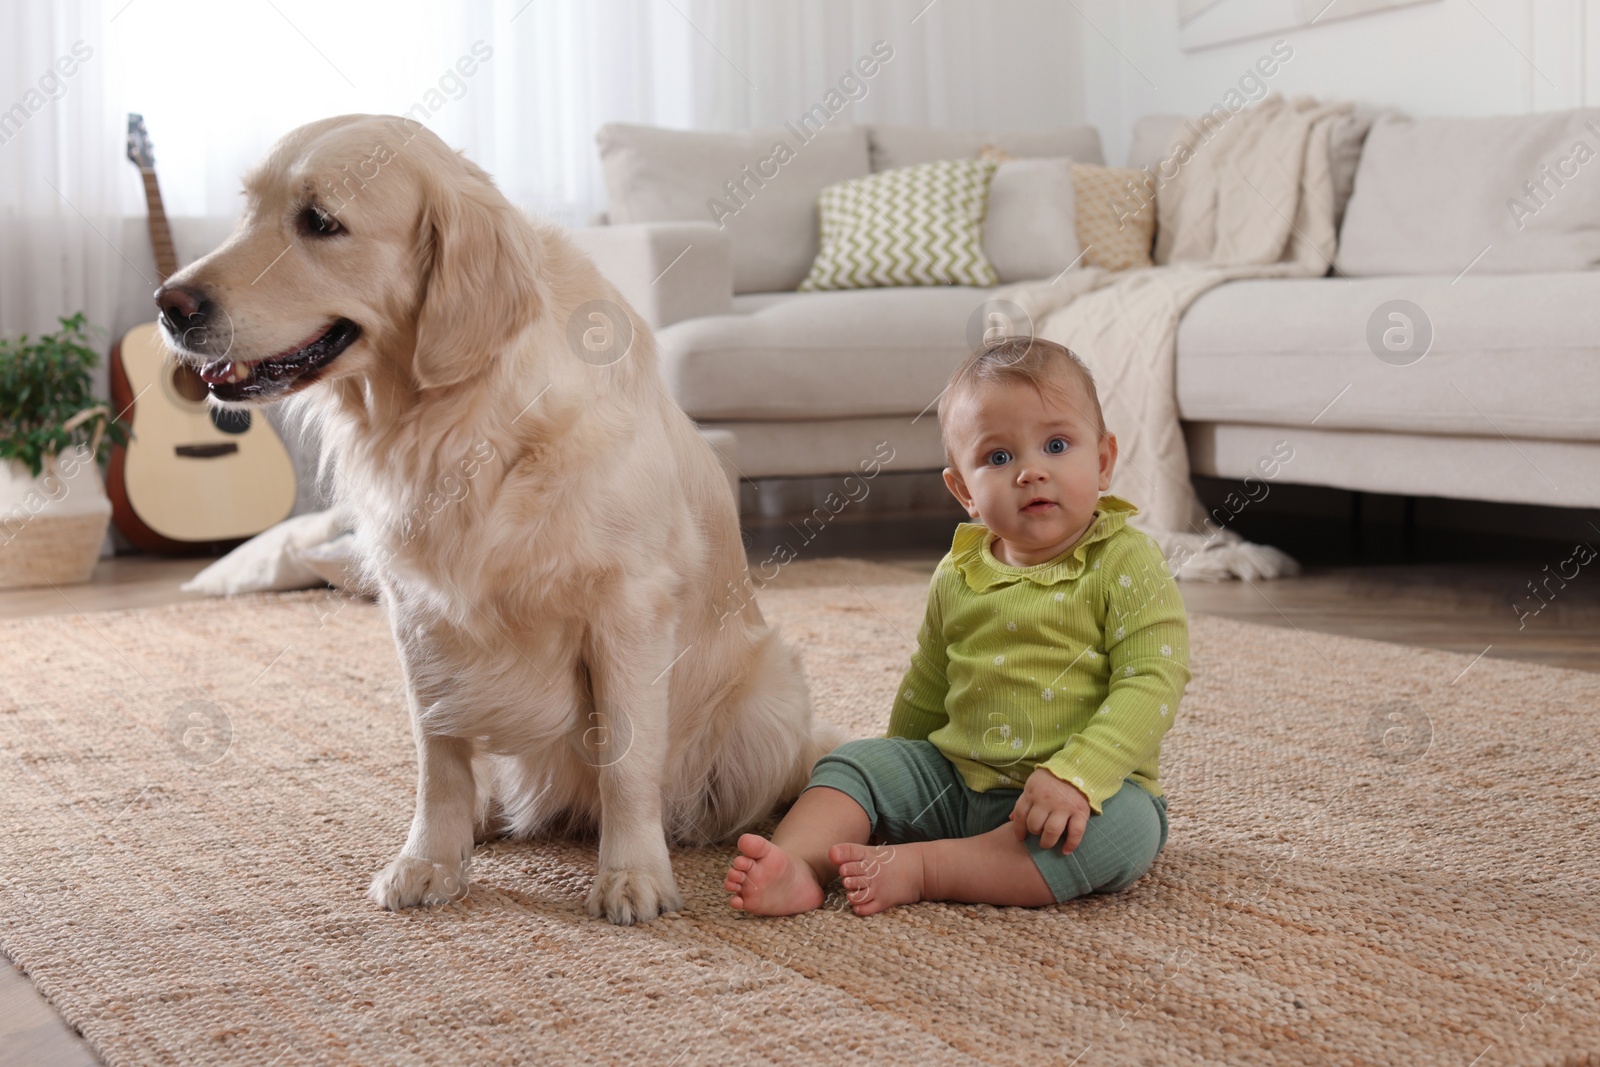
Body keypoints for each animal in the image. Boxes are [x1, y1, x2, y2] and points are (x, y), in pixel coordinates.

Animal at [151, 112, 851, 921]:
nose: (169, 304)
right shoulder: (417, 613)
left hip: (765, 705)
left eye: (320, 221)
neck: (460, 419)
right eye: (248, 211)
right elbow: (439, 755)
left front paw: (633, 874)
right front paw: (430, 858)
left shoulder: (629, 605)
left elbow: (627, 760)